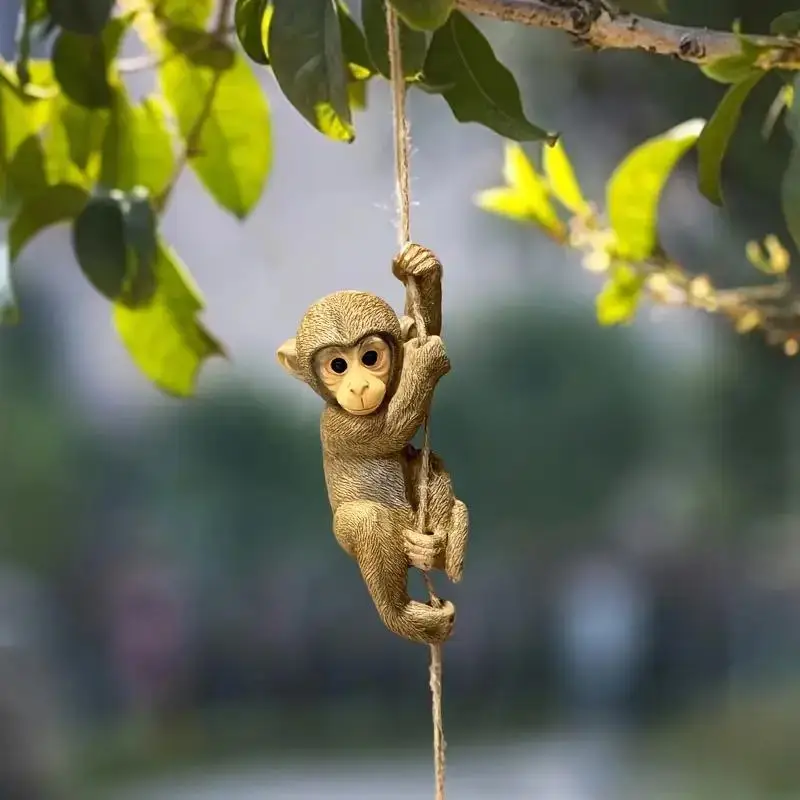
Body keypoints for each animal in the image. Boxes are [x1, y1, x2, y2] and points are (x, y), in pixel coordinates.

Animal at [276, 244, 469, 645]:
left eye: (370, 357)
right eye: (337, 365)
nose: (361, 386)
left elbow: (419, 328)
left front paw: (420, 268)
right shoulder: (339, 426)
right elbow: (389, 430)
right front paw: (427, 359)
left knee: (427, 463)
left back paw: (441, 544)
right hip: (355, 538)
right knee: (366, 521)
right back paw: (406, 615)